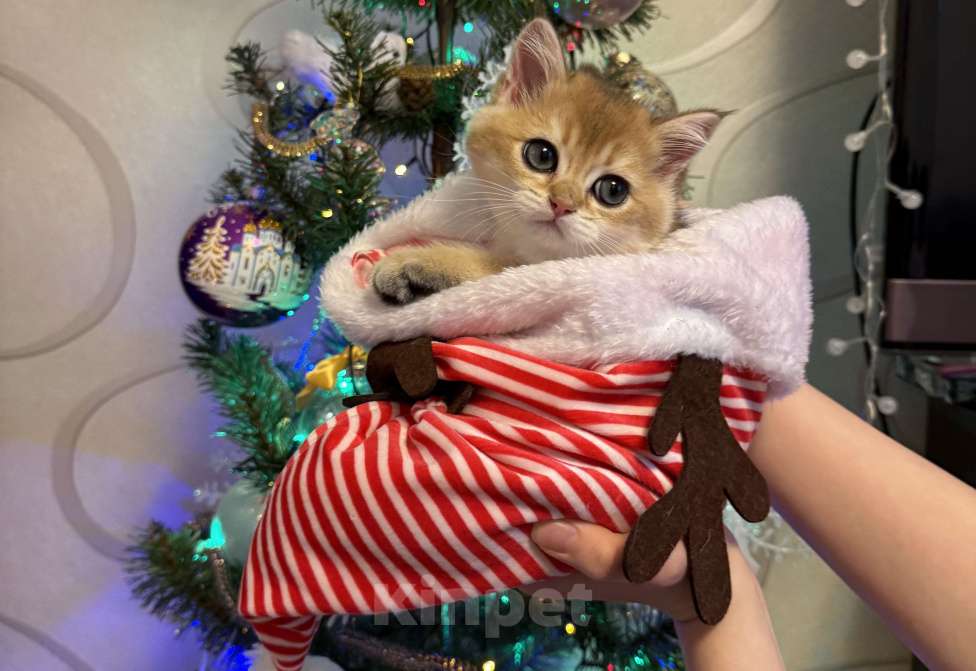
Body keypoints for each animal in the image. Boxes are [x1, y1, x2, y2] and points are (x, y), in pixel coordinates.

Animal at [372, 18, 724, 305]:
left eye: (613, 190)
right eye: (541, 155)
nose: (561, 205)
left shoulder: (539, 269)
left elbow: (492, 266)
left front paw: (421, 263)